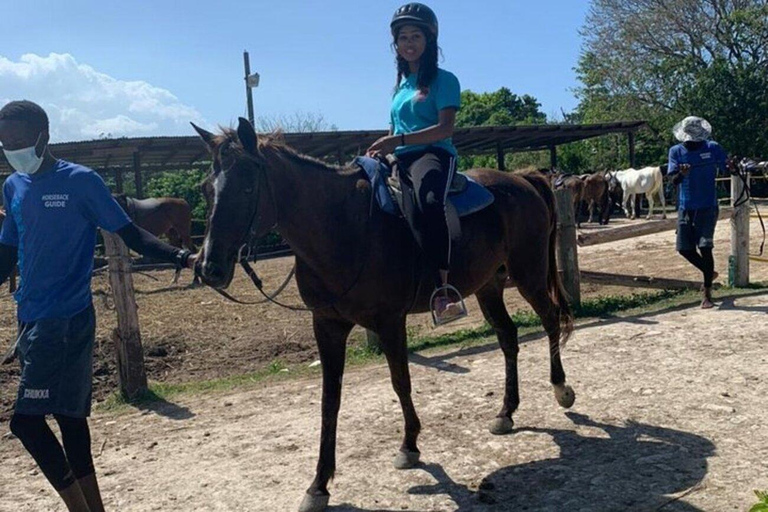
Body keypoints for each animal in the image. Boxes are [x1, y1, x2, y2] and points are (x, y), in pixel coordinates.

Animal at [192, 119, 576, 512]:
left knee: (550, 319)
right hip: (489, 286)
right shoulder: (326, 326)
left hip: (528, 274)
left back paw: (561, 389)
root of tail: (523, 179)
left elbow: (400, 381)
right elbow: (330, 400)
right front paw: (319, 486)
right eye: (206, 189)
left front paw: (409, 446)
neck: (343, 227)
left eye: (248, 185)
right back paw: (506, 413)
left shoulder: (390, 320)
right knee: (508, 337)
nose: (209, 268)